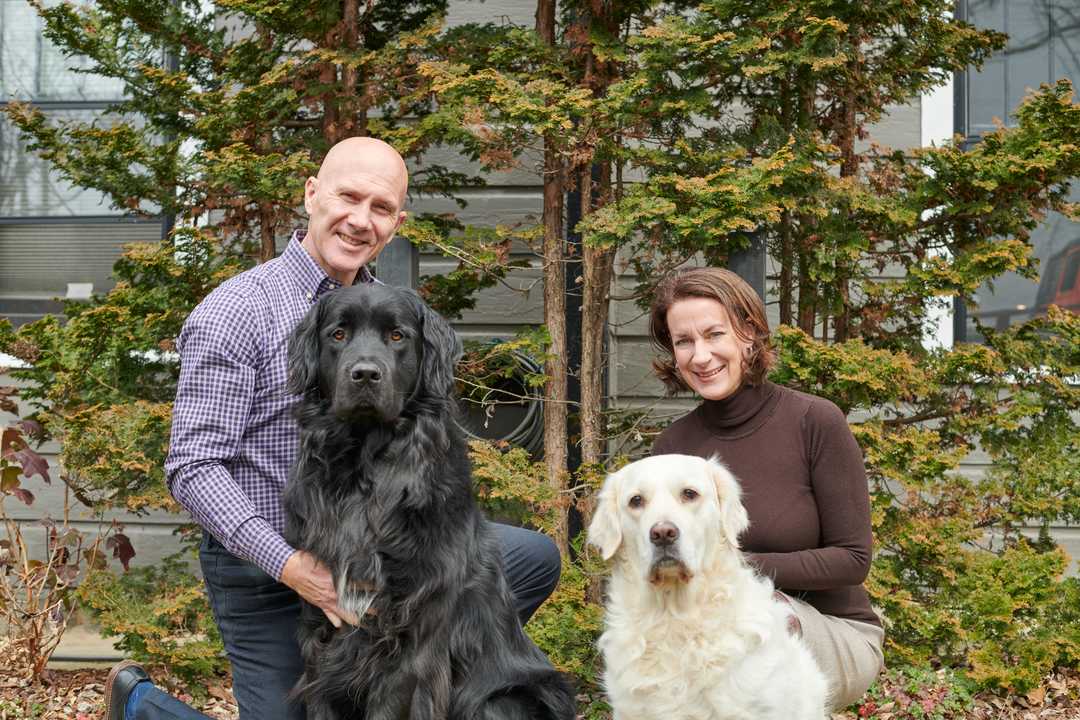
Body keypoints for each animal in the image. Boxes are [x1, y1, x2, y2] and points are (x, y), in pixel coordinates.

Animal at [282, 282, 578, 720]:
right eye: (337, 334)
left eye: (397, 336)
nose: (365, 374)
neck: (366, 470)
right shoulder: (322, 628)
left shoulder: (413, 639)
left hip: (501, 700)